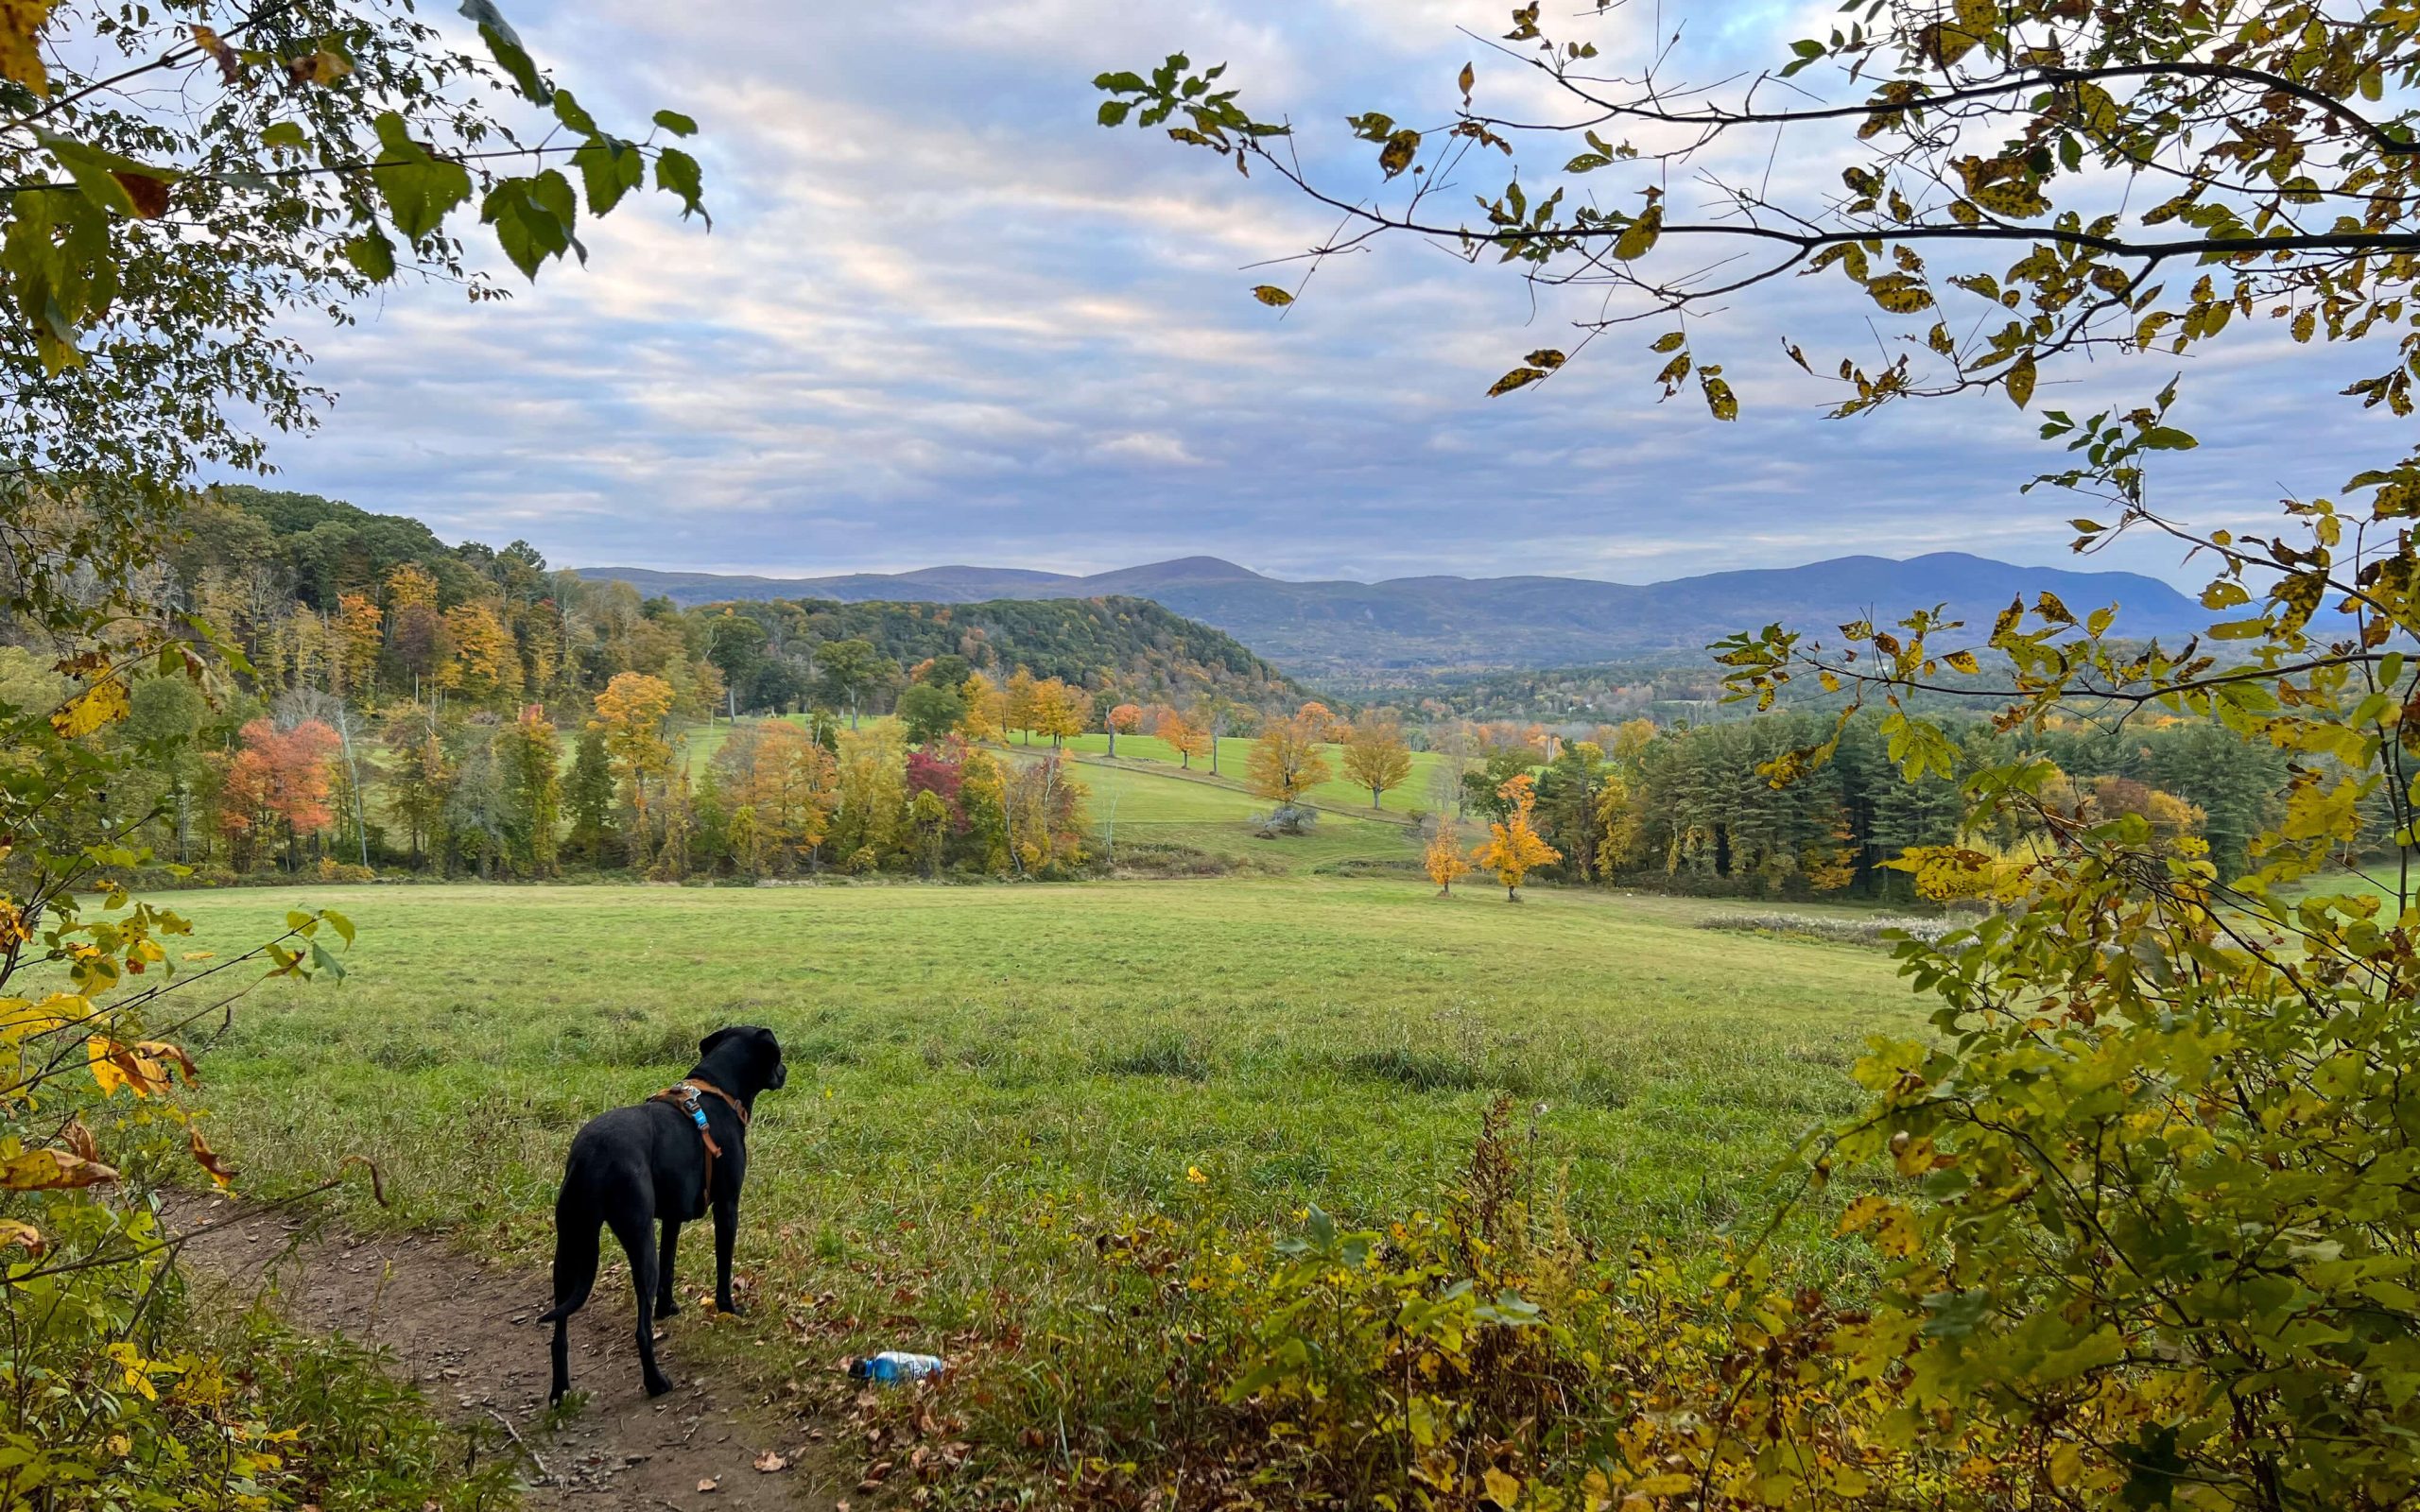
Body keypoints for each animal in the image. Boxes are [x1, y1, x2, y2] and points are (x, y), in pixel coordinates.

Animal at [544, 1021, 788, 1393]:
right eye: (777, 1057)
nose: (785, 1071)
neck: (717, 1090)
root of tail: (592, 1155)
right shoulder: (727, 1206)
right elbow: (723, 1264)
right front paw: (728, 1308)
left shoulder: (673, 1216)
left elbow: (670, 1263)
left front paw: (668, 1306)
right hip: (638, 1240)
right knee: (641, 1330)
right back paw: (656, 1382)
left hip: (569, 1247)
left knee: (559, 1333)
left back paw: (560, 1390)